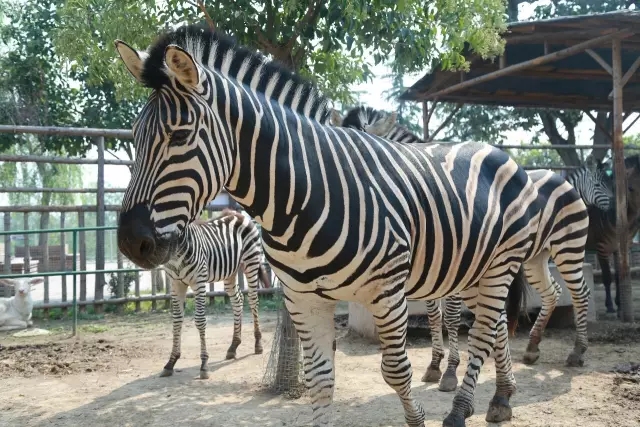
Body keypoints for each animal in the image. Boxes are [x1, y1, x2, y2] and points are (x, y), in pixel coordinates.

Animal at [161, 209, 272, 380]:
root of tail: (239, 214)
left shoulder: (199, 282)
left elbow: (200, 320)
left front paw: (204, 365)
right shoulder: (176, 284)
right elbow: (177, 320)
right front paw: (171, 362)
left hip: (251, 262)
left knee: (253, 300)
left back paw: (258, 344)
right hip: (230, 272)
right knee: (238, 300)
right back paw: (233, 346)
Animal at [332, 106, 608, 392]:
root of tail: (561, 178)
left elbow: (452, 316)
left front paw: (450, 372)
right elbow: (434, 315)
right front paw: (435, 365)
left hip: (568, 246)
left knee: (580, 293)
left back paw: (577, 352)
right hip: (537, 258)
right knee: (553, 292)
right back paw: (532, 347)